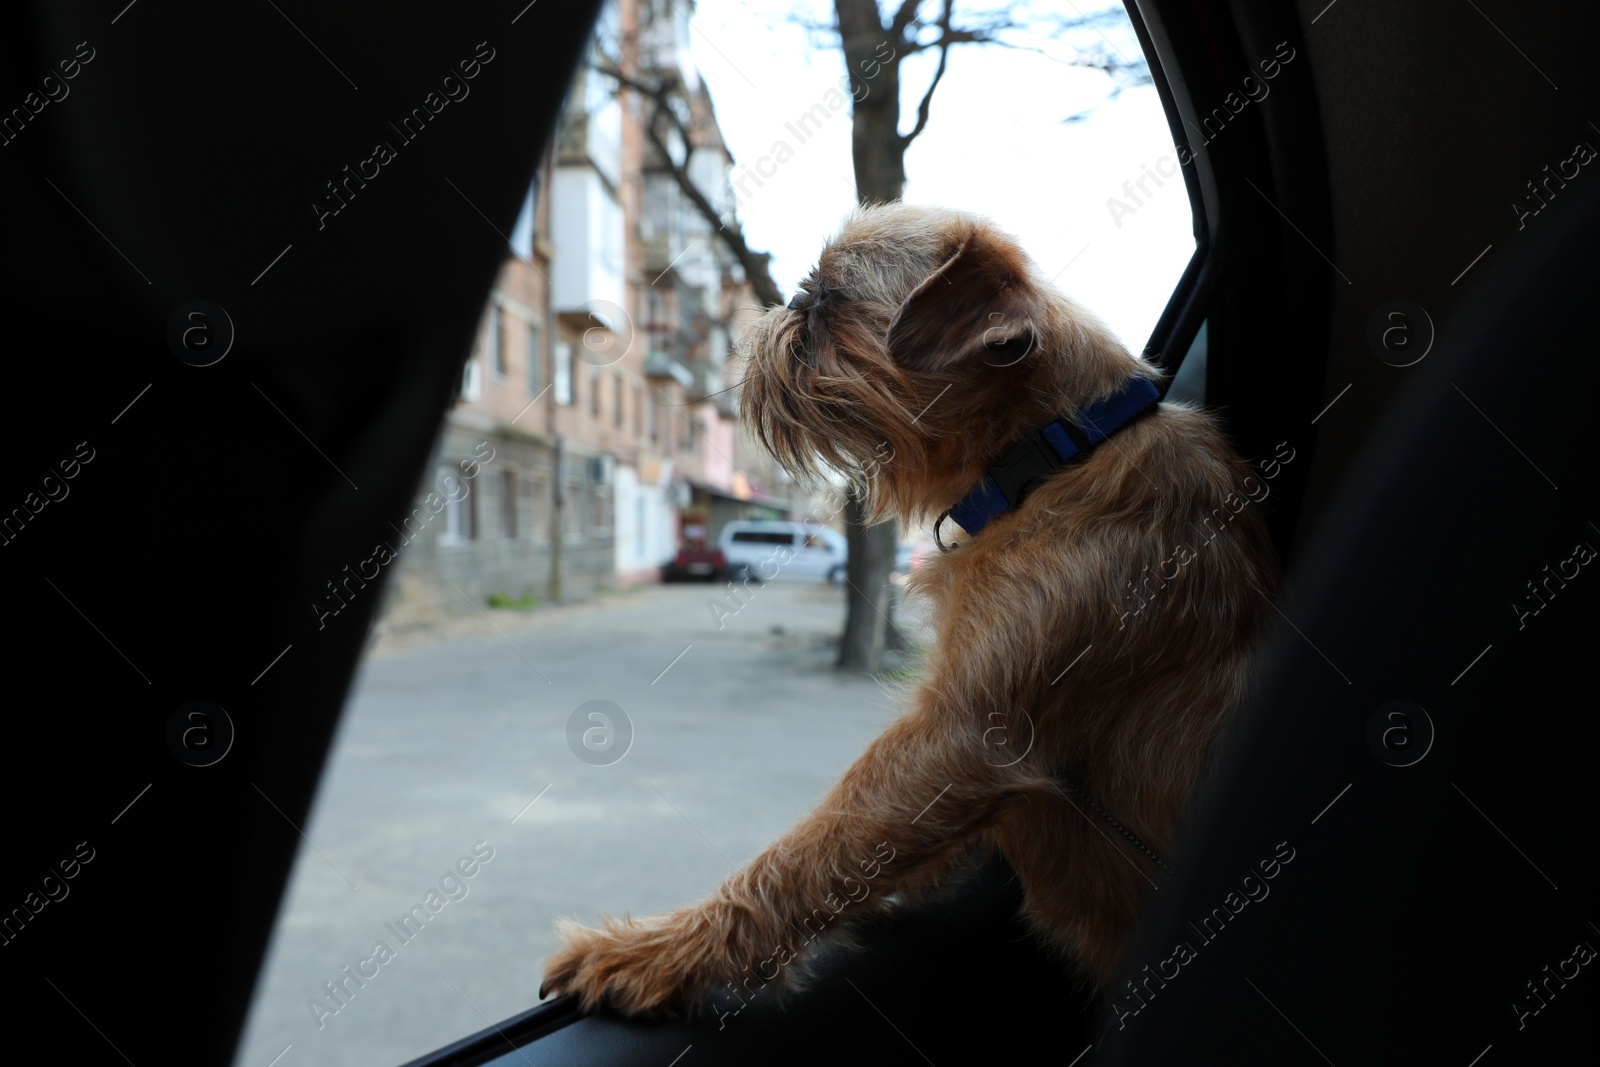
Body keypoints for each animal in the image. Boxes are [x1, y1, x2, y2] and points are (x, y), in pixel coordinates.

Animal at [544, 206, 1280, 1017]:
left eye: (827, 300)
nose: (781, 306)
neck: (1055, 452)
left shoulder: (958, 740)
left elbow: (808, 853)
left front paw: (657, 950)